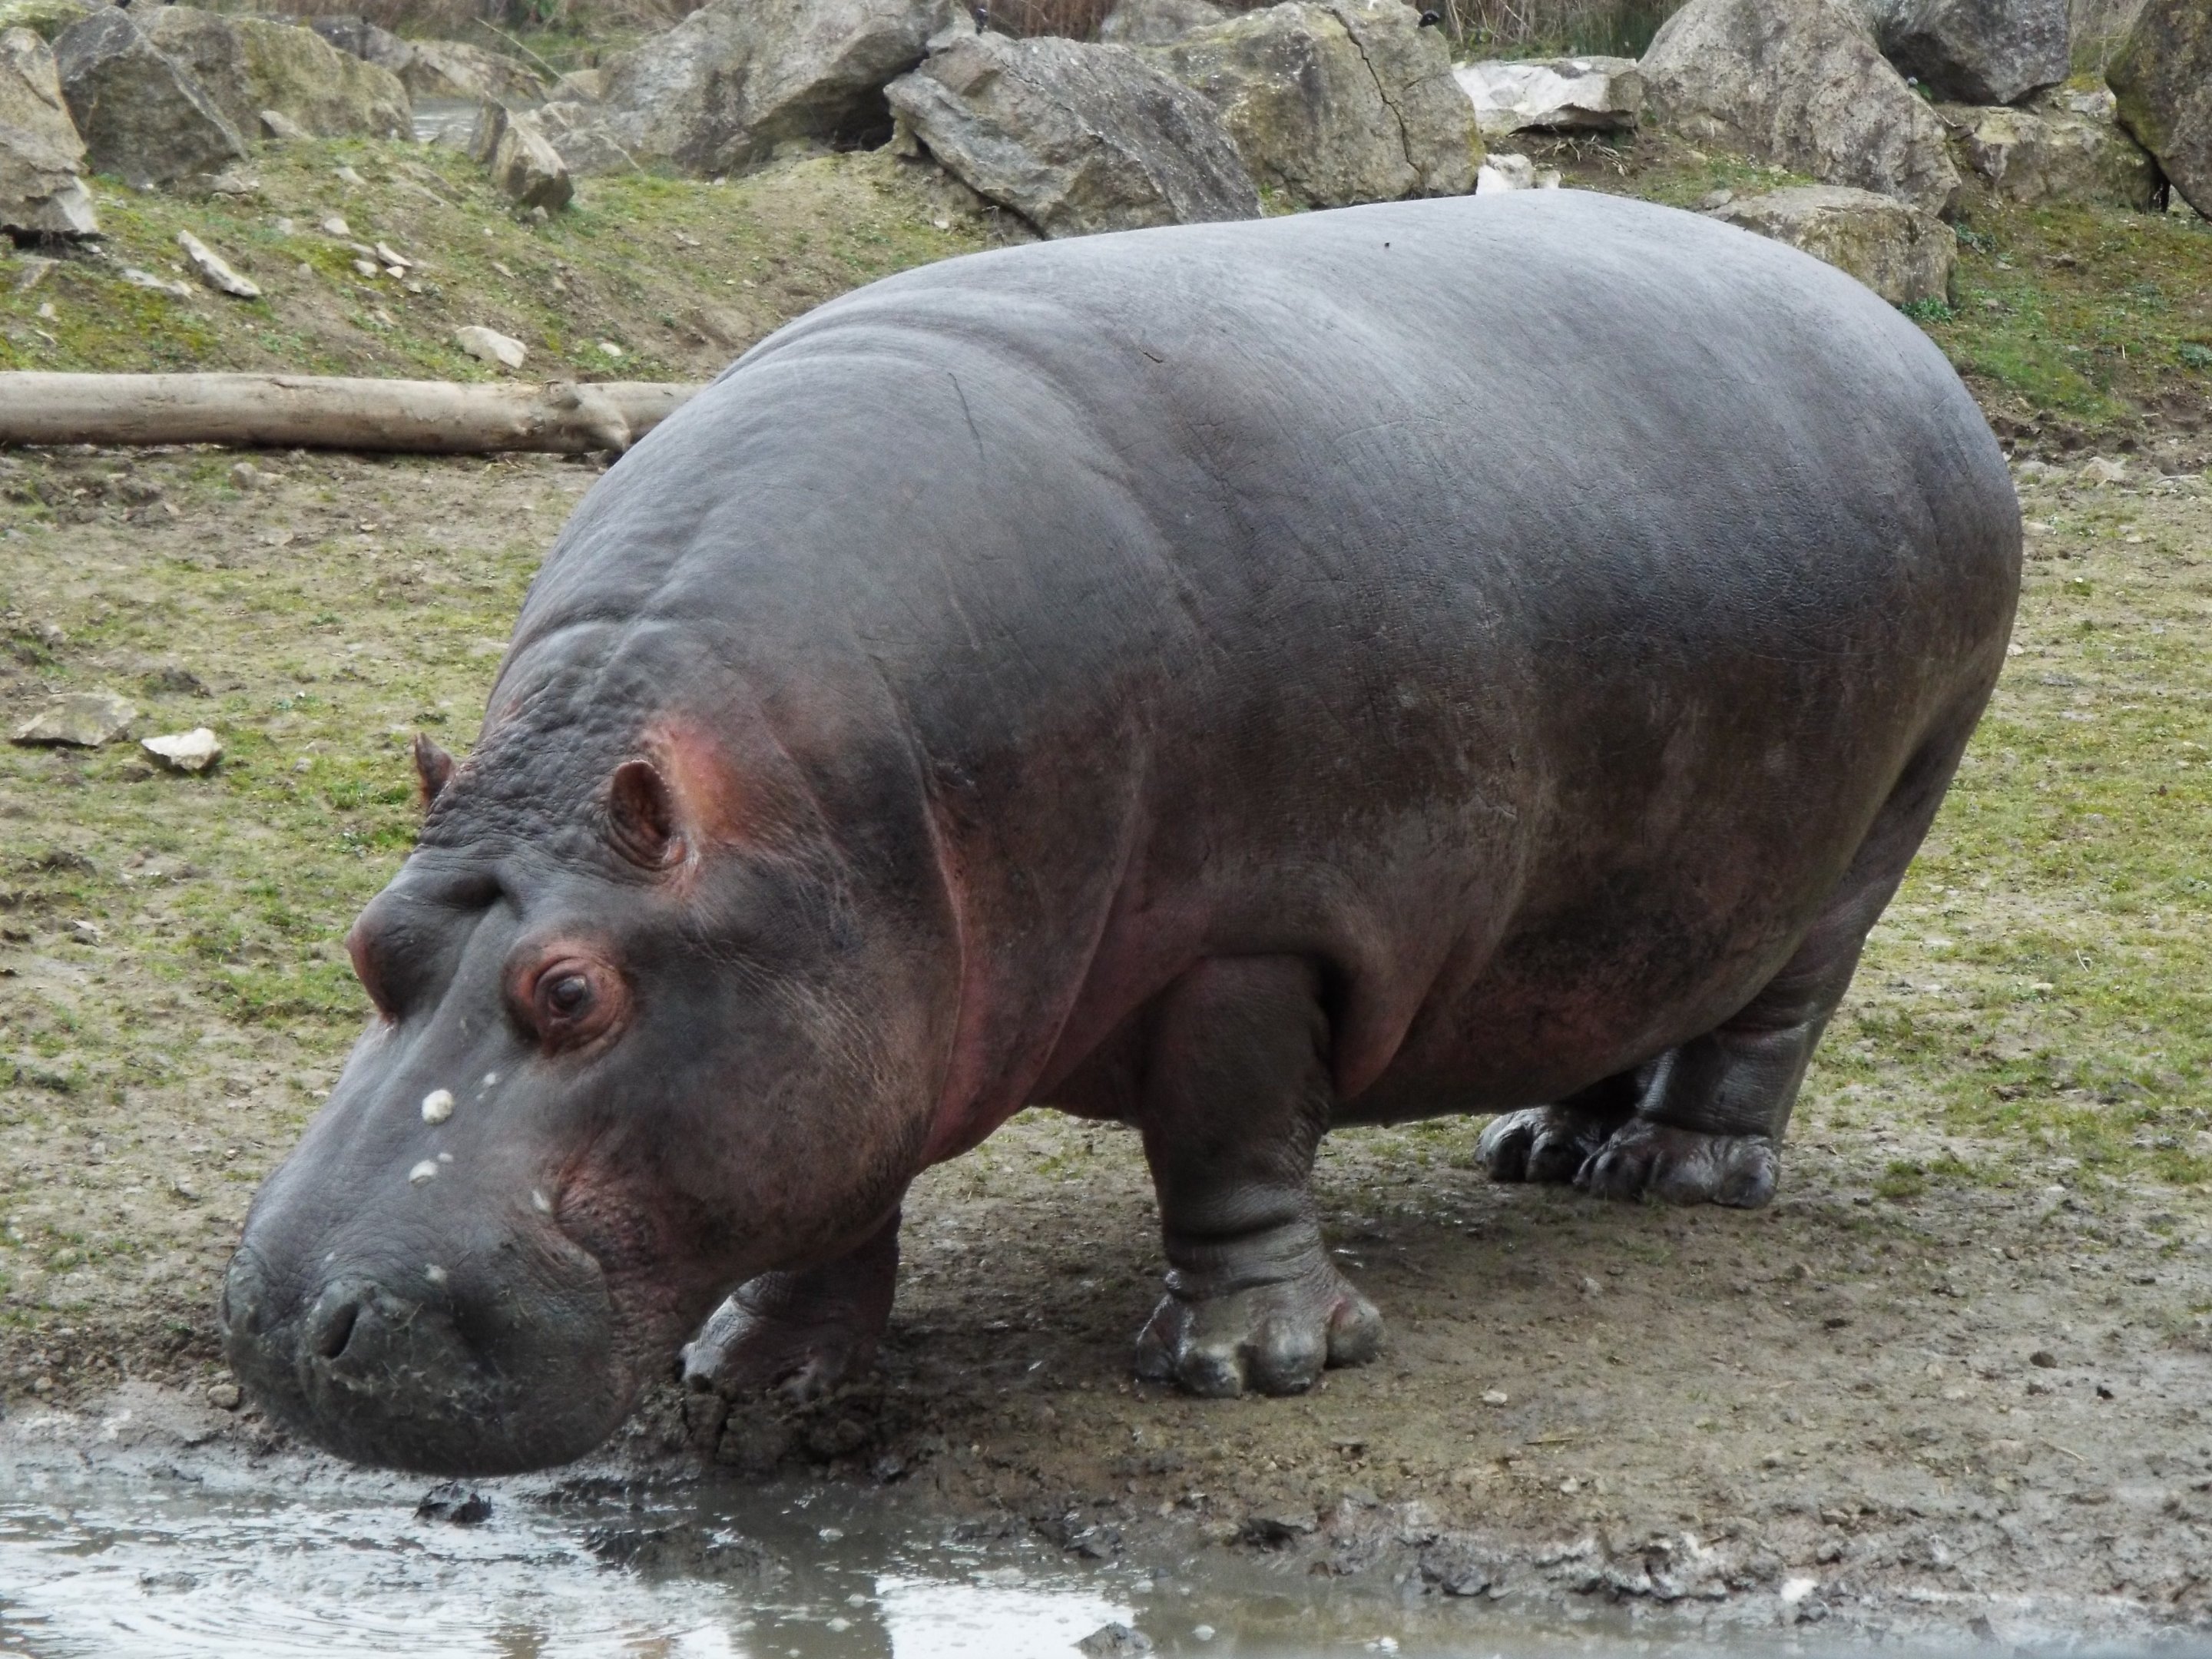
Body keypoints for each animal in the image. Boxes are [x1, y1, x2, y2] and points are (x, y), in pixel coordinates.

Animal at [220, 189, 2020, 1475]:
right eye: (370, 946)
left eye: (573, 991)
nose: (288, 1319)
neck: (817, 792)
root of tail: (1897, 332)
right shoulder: (850, 992)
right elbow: (827, 1193)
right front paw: (753, 1391)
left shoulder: (1259, 934)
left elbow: (1229, 1139)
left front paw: (1255, 1368)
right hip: (1661, 866)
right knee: (1641, 979)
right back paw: (1548, 1148)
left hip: (1888, 817)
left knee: (1770, 1015)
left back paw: (1673, 1171)